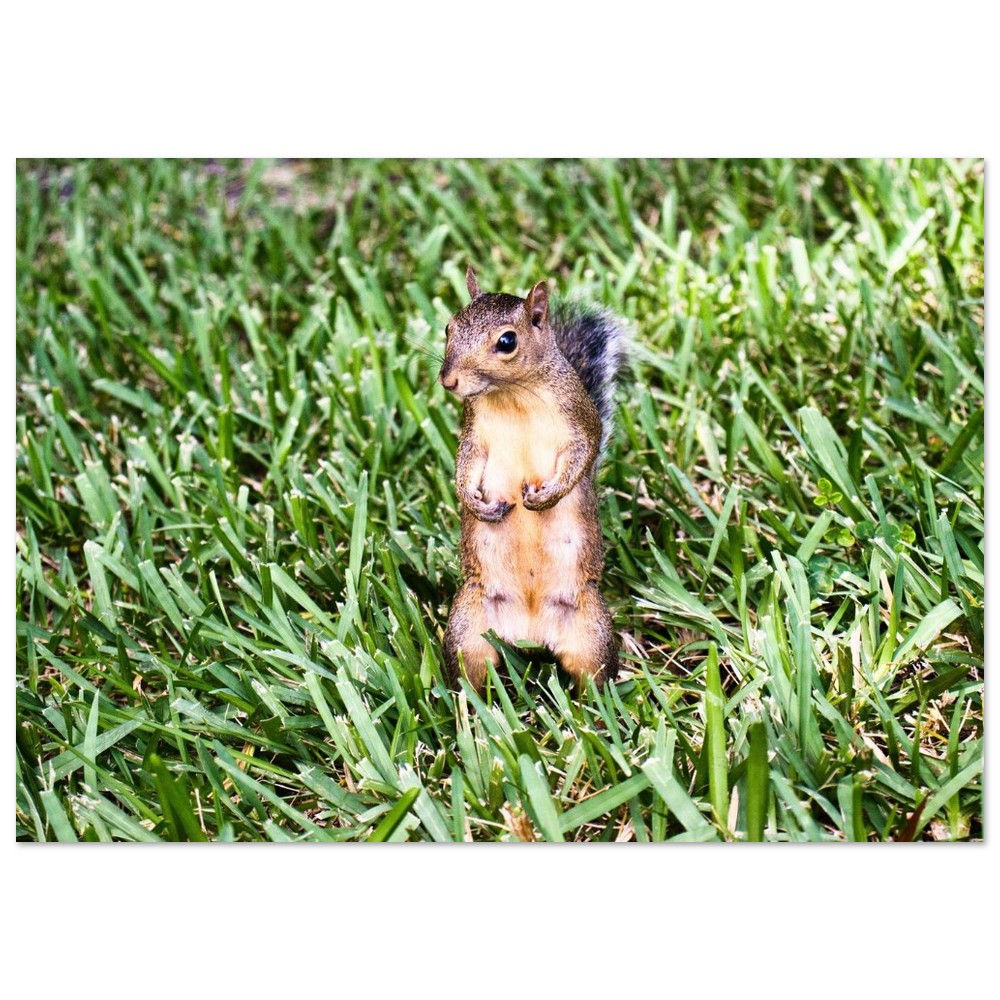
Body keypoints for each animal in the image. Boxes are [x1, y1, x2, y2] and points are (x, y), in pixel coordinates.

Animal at [440, 266, 628, 692]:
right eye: (448, 327)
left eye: (507, 341)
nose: (448, 381)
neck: (514, 395)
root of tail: (530, 631)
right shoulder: (474, 432)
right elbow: (465, 464)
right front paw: (473, 502)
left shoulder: (580, 420)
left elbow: (582, 456)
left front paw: (547, 498)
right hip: (467, 629)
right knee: (469, 677)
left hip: (591, 634)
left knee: (594, 681)